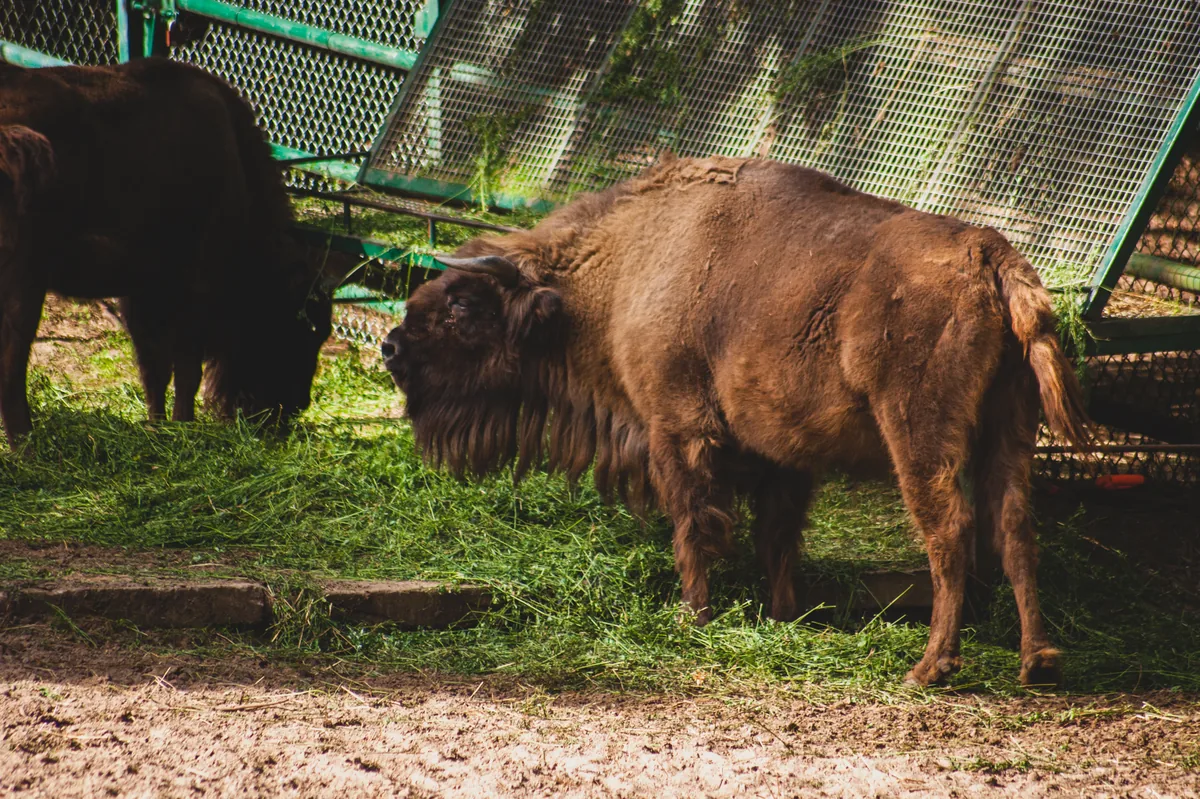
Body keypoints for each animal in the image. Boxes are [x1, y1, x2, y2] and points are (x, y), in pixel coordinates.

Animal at [0, 58, 334, 450]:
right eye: (301, 330)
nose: (296, 406)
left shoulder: (141, 290)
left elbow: (153, 368)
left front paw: (157, 426)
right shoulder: (194, 288)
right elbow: (186, 368)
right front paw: (183, 426)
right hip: (25, 280)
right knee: (12, 360)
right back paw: (26, 446)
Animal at [381, 155, 1091, 686]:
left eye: (462, 307)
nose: (390, 348)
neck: (624, 268)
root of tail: (992, 257)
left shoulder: (677, 430)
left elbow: (694, 525)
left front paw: (691, 617)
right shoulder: (784, 459)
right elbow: (775, 539)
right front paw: (782, 617)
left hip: (917, 430)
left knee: (951, 532)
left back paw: (930, 668)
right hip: (1008, 429)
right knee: (1014, 526)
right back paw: (1037, 662)